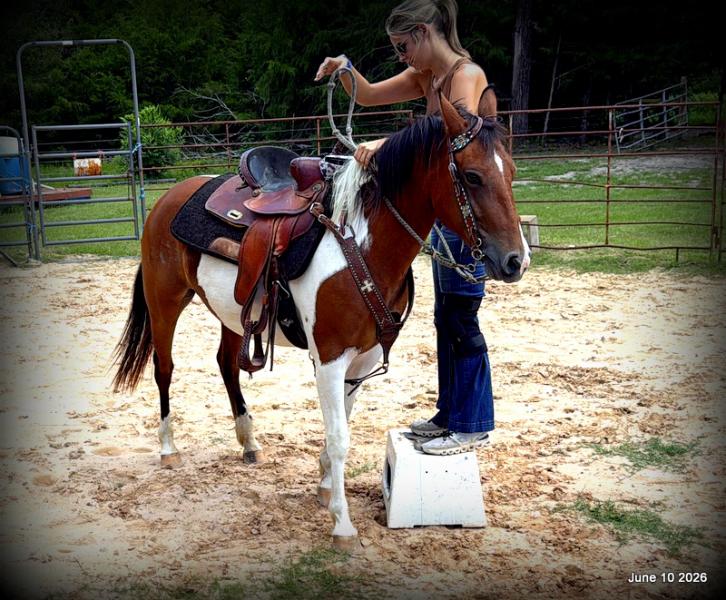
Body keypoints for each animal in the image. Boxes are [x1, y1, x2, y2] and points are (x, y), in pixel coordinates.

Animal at [112, 90, 529, 550]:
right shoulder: (329, 359)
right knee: (164, 368)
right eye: (472, 176)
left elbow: (342, 424)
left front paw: (327, 488)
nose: (517, 260)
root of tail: (169, 198)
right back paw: (169, 449)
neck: (361, 247)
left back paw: (249, 442)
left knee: (226, 365)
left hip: (233, 313)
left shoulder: (361, 361)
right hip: (165, 302)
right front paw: (342, 524)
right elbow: (339, 436)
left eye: (510, 172)